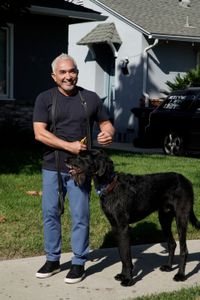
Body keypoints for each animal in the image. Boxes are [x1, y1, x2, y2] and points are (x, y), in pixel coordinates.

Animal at [66, 149, 200, 286]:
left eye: (83, 156)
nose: (66, 159)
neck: (110, 184)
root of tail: (186, 180)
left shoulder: (123, 227)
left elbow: (126, 256)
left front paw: (128, 279)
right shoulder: (115, 227)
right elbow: (122, 254)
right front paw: (123, 275)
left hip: (181, 218)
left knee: (184, 249)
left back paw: (180, 275)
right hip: (164, 218)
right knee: (172, 244)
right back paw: (168, 267)